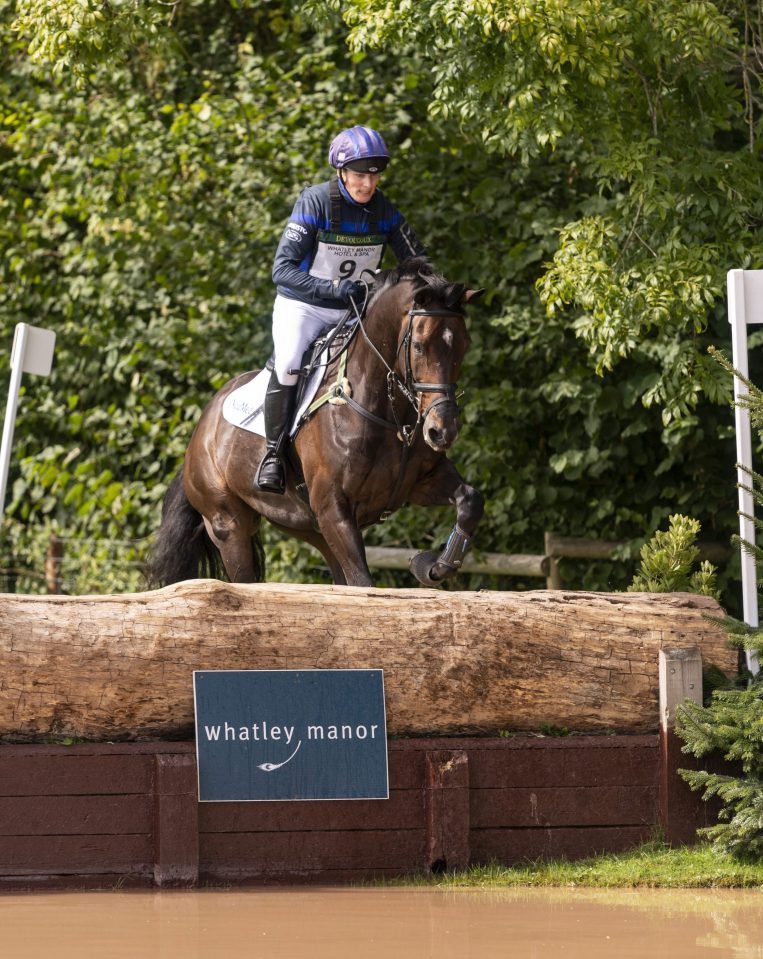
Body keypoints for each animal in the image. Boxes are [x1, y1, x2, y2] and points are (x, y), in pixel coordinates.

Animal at [148, 258, 484, 588]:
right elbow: (364, 584)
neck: (387, 414)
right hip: (228, 525)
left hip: (308, 526)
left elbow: (470, 500)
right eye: (419, 346)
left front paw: (433, 566)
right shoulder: (334, 510)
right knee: (242, 578)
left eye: (465, 345)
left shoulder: (421, 481)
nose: (442, 430)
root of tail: (199, 432)